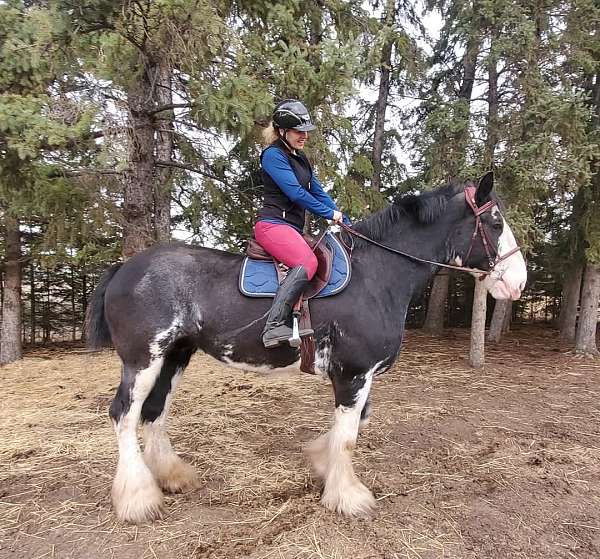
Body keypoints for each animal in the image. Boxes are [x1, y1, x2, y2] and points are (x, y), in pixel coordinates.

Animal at [86, 172, 528, 524]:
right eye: (494, 221)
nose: (518, 282)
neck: (376, 276)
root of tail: (125, 267)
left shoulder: (360, 375)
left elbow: (354, 424)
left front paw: (321, 463)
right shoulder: (353, 373)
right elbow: (348, 435)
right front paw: (348, 496)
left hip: (174, 355)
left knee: (154, 411)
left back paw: (171, 476)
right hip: (142, 359)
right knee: (124, 414)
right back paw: (138, 499)